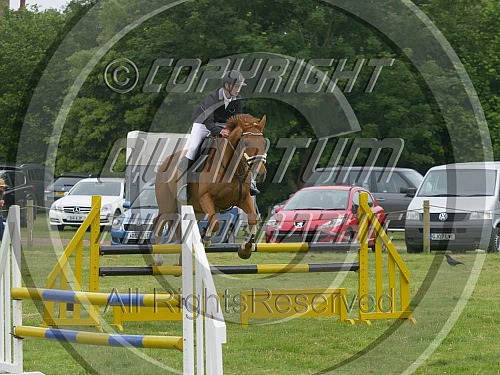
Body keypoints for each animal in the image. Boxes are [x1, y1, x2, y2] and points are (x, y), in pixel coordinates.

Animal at [153, 114, 268, 260]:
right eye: (246, 143)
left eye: (263, 143)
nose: (260, 174)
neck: (231, 168)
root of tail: (165, 162)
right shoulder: (205, 197)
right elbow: (215, 223)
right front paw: (206, 240)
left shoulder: (243, 198)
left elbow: (253, 218)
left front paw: (245, 250)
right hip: (167, 205)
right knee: (158, 222)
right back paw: (158, 259)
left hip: (197, 210)